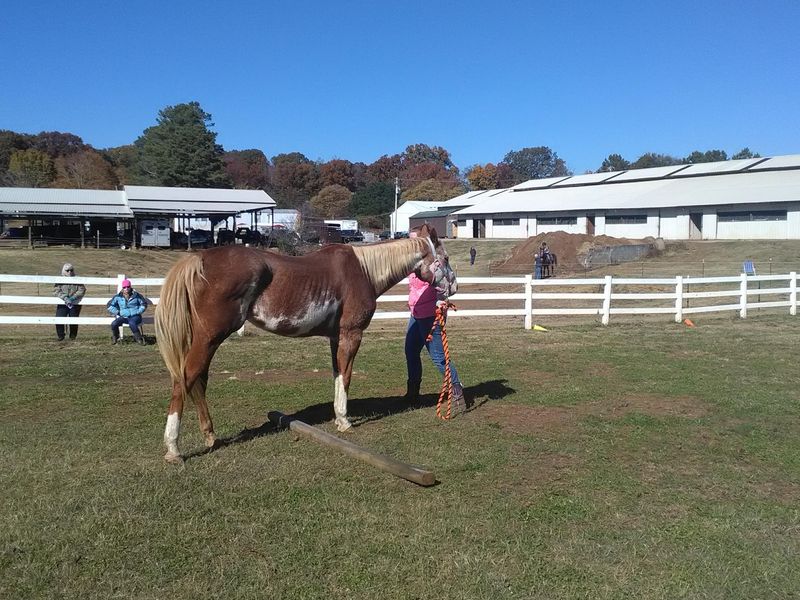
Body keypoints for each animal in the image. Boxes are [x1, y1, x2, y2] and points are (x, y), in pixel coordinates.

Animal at [154, 224, 456, 464]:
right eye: (446, 258)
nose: (453, 287)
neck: (364, 270)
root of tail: (200, 258)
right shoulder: (352, 334)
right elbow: (346, 376)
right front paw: (345, 421)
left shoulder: (335, 337)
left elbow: (337, 375)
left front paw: (338, 416)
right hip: (210, 337)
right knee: (185, 379)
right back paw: (173, 449)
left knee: (198, 381)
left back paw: (210, 436)